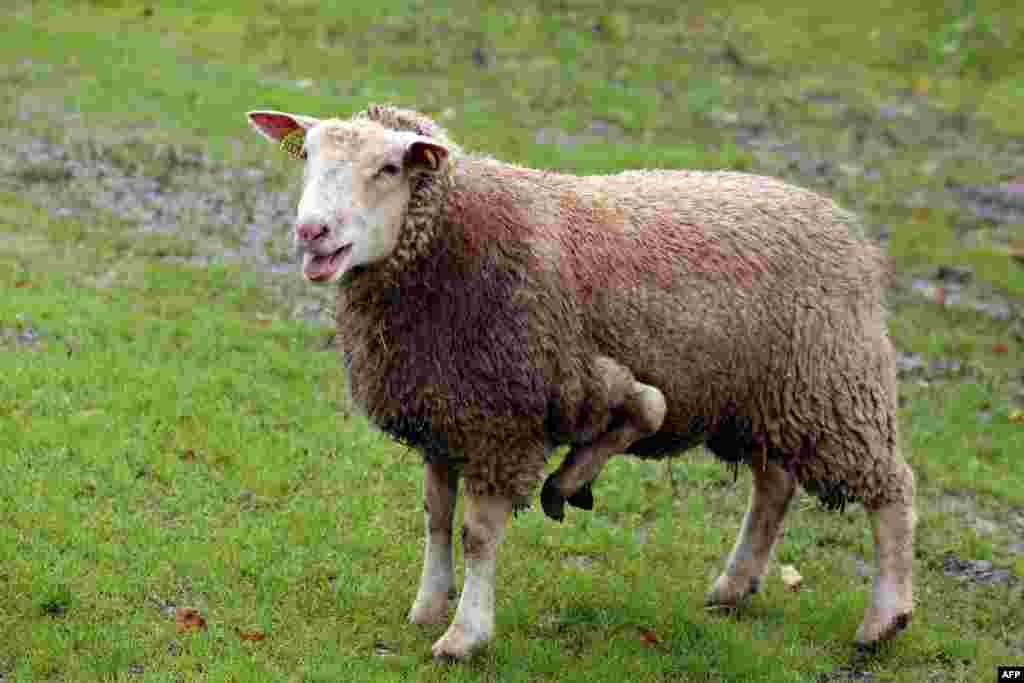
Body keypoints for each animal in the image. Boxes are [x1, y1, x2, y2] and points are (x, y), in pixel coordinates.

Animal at [245, 104, 913, 659]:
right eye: (307, 157)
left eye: (388, 168)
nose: (312, 232)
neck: (458, 238)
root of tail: (847, 225)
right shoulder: (446, 411)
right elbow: (436, 516)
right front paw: (430, 603)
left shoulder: (505, 417)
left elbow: (478, 532)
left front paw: (465, 634)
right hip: (765, 397)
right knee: (774, 484)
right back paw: (734, 584)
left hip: (837, 383)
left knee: (891, 490)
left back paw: (884, 618)